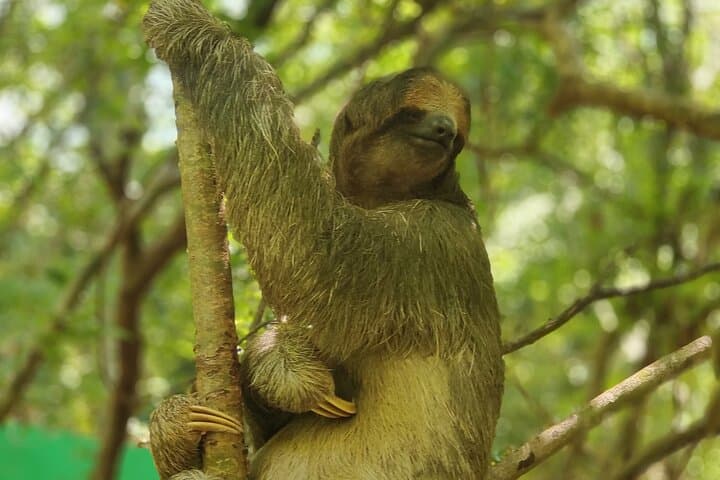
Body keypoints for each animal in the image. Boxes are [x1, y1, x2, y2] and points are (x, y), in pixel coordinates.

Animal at [143, 0, 504, 479]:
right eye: (413, 113)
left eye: (459, 135)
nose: (443, 129)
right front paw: (276, 364)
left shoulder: (428, 240)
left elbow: (313, 253)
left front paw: (199, 33)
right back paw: (178, 426)